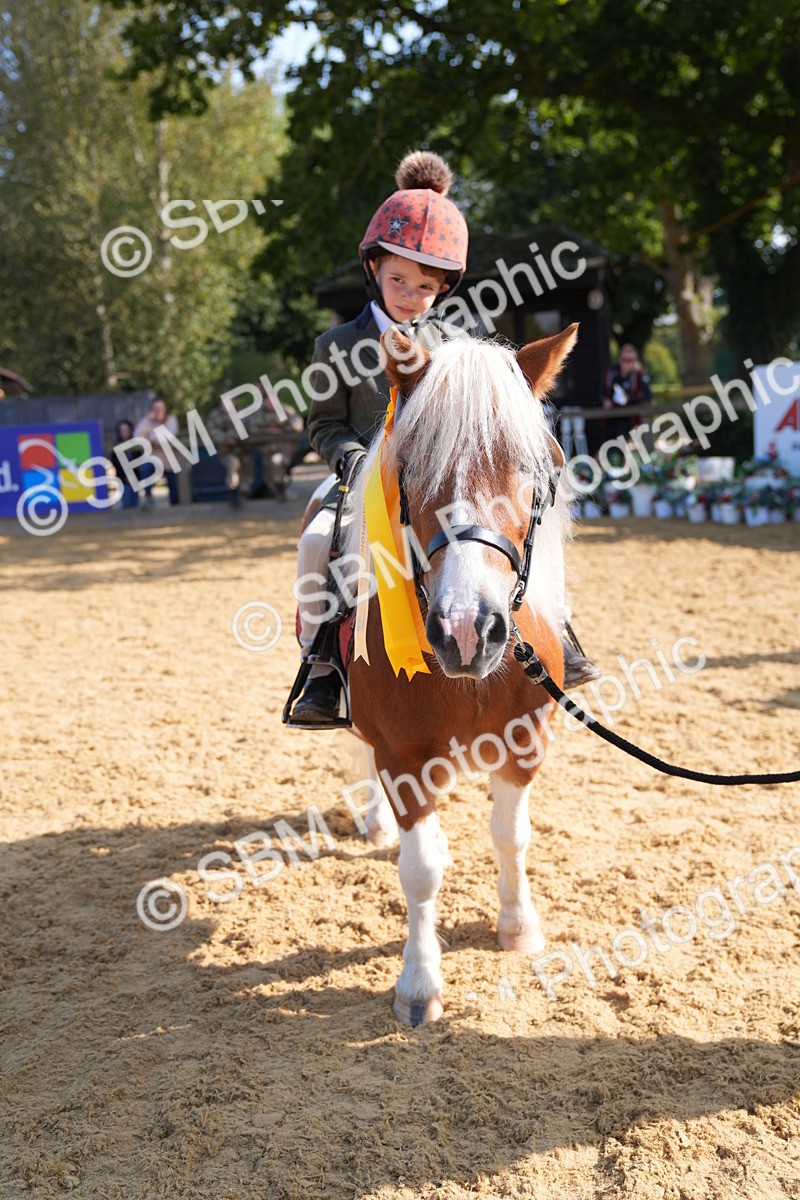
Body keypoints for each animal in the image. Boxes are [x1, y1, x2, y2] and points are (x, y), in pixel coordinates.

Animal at [339, 324, 577, 1025]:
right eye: (414, 472)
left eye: (530, 473)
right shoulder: (403, 756)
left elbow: (511, 836)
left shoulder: (525, 742)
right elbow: (420, 870)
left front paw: (518, 927)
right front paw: (418, 985)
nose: (468, 629)